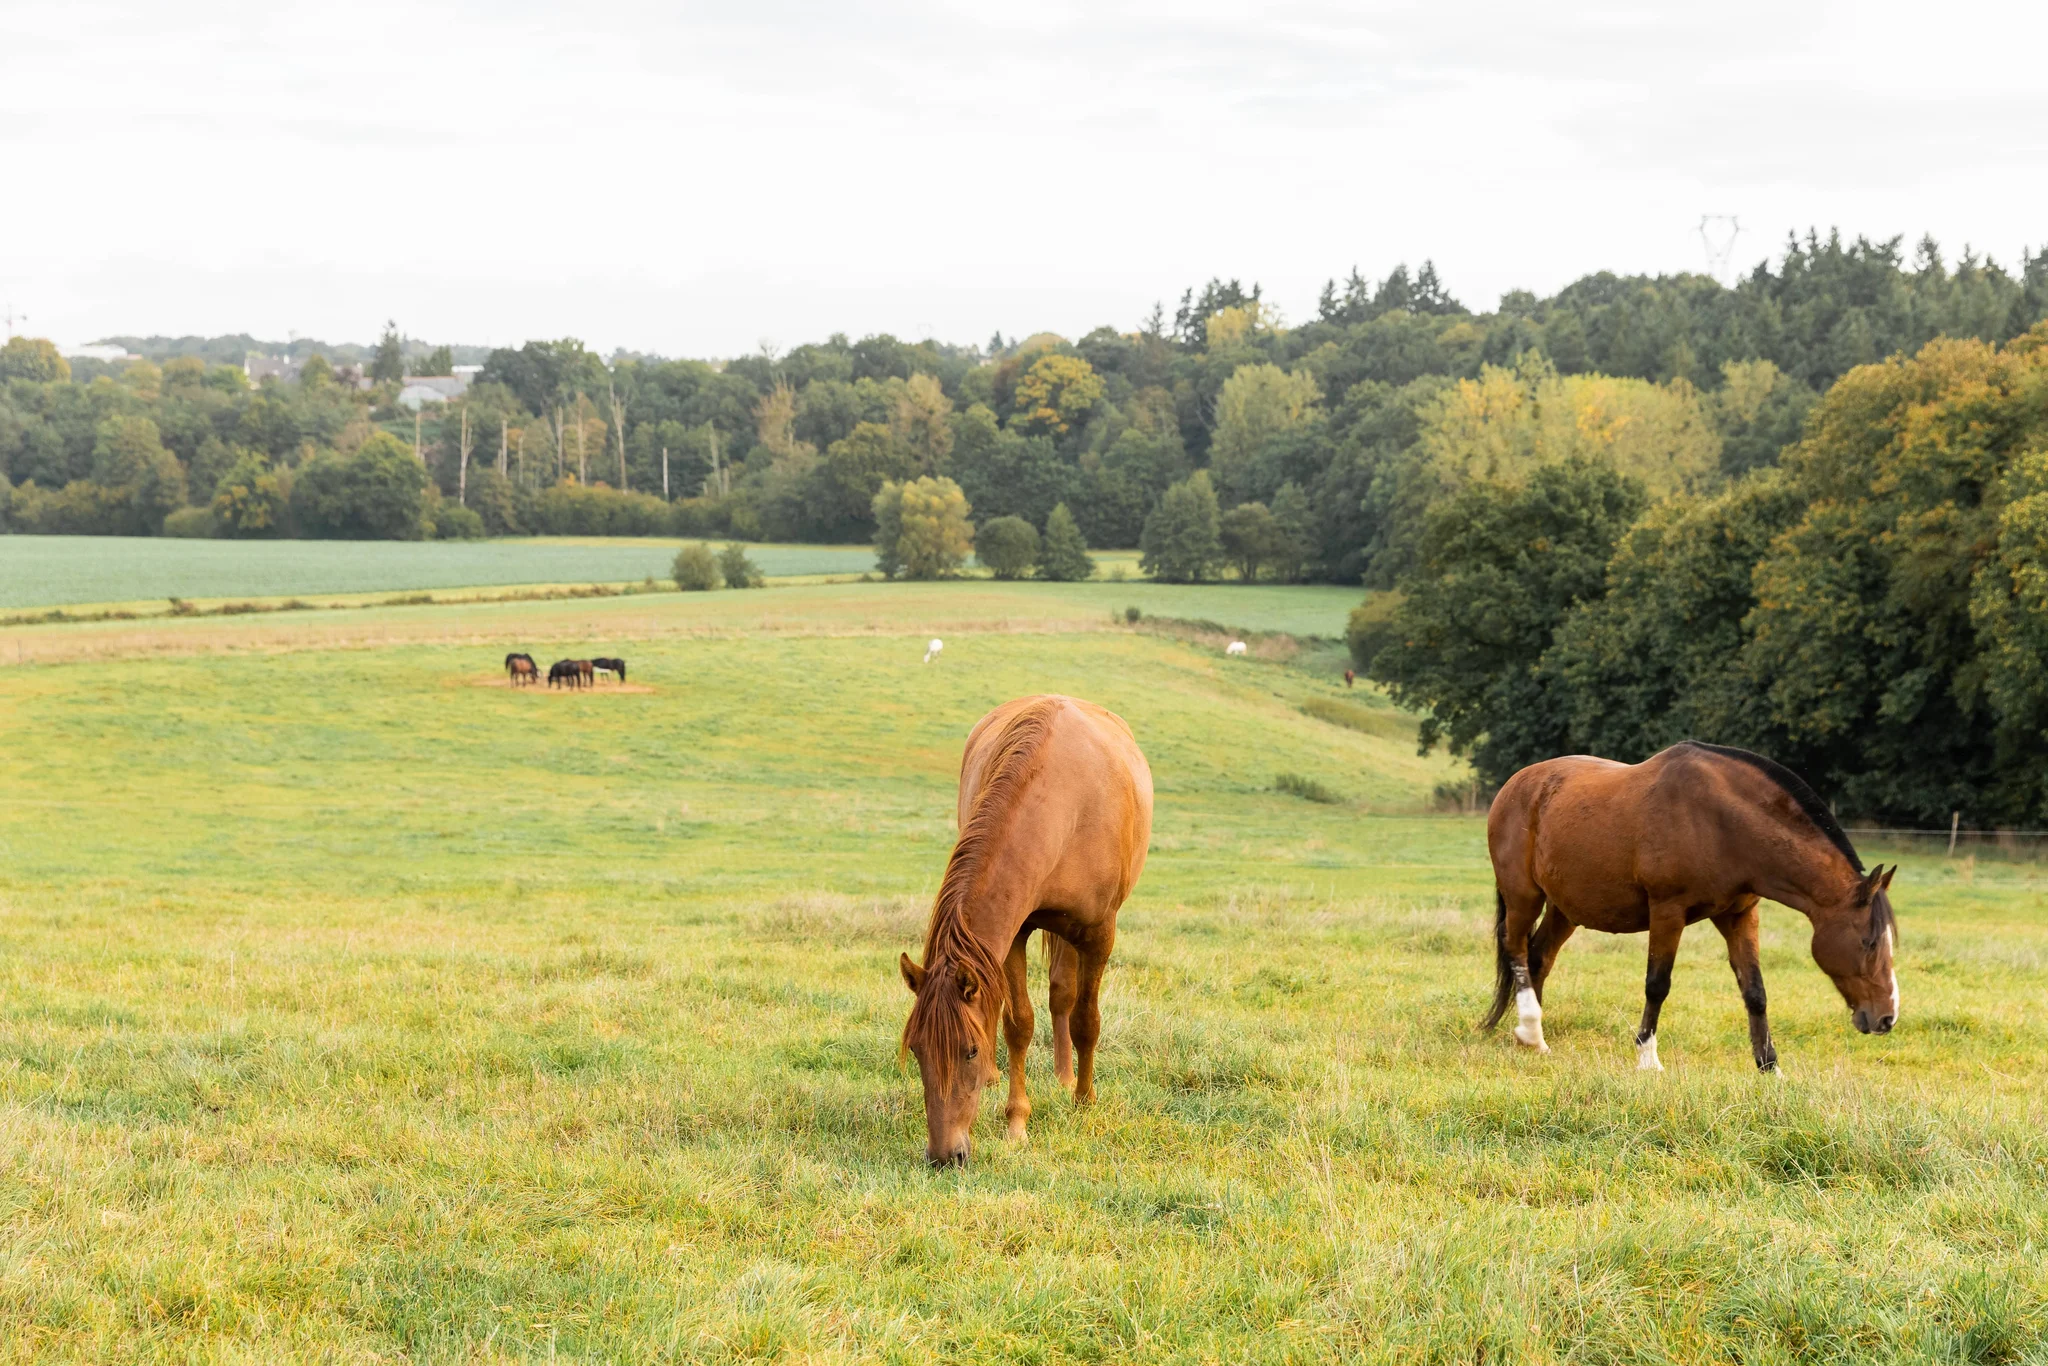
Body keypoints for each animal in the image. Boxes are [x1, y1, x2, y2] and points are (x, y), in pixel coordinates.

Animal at [897, 700, 1155, 1171]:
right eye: (919, 1051)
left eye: (969, 1051)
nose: (944, 1156)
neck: (1066, 806)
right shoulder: (1014, 933)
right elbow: (1018, 1024)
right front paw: (1017, 1122)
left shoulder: (1098, 934)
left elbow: (1086, 1020)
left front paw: (1084, 1101)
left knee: (1064, 995)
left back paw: (1066, 1077)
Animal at [1482, 741, 1892, 1073]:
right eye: (1870, 942)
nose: (1887, 1018)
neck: (1721, 822)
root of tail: (1515, 785)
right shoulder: (1668, 911)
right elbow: (1657, 985)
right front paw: (1648, 1059)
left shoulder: (1739, 915)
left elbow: (1755, 991)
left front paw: (1770, 1067)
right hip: (1524, 897)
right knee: (1516, 949)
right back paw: (1530, 1030)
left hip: (1565, 909)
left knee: (1539, 957)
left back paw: (1530, 1039)